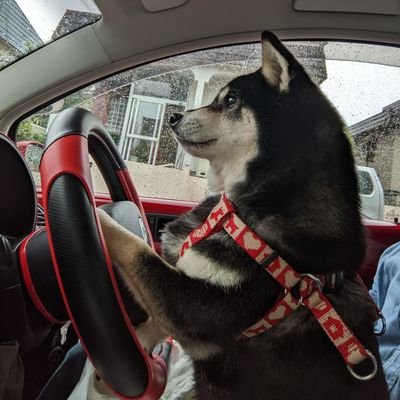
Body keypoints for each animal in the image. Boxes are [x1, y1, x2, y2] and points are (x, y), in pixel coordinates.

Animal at [98, 32, 390, 400]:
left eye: (231, 100)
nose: (173, 117)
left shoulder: (193, 309)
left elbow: (134, 248)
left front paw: (93, 215)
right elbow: (151, 310)